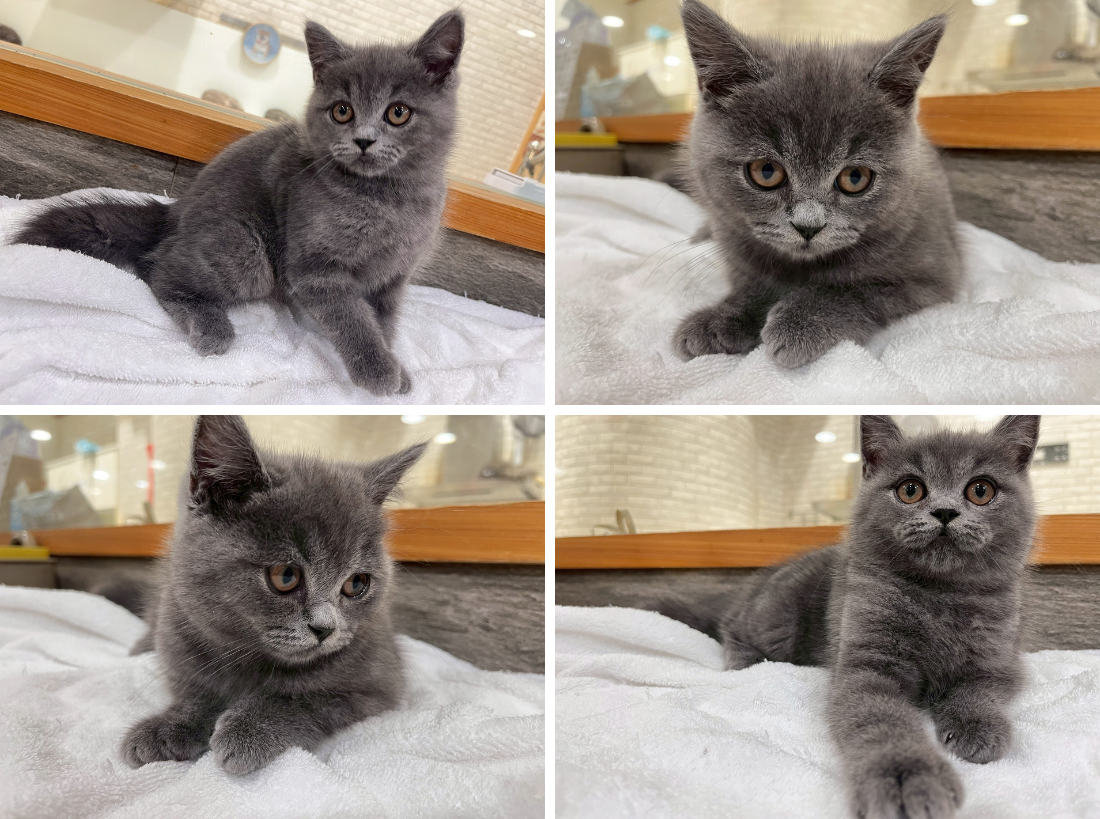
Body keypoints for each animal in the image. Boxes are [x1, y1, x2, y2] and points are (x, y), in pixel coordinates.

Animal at [14, 11, 464, 396]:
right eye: (342, 110)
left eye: (398, 112)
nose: (364, 140)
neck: (386, 198)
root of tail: (175, 211)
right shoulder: (315, 268)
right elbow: (352, 319)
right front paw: (379, 371)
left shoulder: (394, 276)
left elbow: (382, 321)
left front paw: (395, 364)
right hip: (246, 250)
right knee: (160, 270)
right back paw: (211, 326)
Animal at [121, 414, 427, 775]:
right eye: (286, 576)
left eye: (356, 584)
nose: (325, 629)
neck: (251, 659)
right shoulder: (178, 633)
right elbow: (199, 692)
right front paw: (168, 727)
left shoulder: (379, 683)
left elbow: (308, 699)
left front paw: (249, 730)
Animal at [658, 415, 1040, 819]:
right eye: (910, 490)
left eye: (981, 490)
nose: (945, 512)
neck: (940, 592)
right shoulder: (866, 657)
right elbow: (880, 716)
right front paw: (906, 775)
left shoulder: (998, 657)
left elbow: (978, 690)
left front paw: (978, 729)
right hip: (777, 618)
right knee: (733, 625)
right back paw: (745, 660)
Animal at [672, 0, 960, 369]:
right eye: (766, 171)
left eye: (855, 178)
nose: (808, 226)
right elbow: (755, 282)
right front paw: (721, 319)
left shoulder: (934, 275)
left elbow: (858, 290)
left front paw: (802, 322)